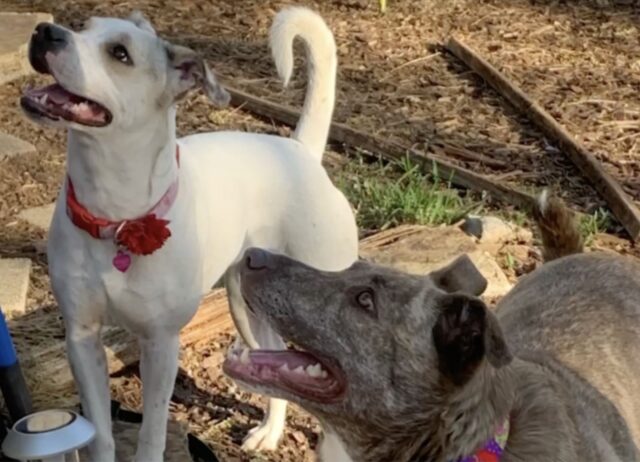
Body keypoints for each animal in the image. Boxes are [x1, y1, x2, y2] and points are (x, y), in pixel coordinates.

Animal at [20, 8, 358, 462]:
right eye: (83, 27)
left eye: (120, 53)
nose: (45, 32)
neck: (117, 216)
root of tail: (300, 151)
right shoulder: (82, 338)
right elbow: (102, 434)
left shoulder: (162, 344)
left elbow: (152, 434)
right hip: (246, 308)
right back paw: (270, 433)